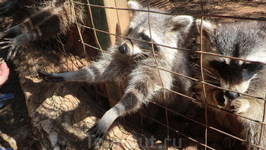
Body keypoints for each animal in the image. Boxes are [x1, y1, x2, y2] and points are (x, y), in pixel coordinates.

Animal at [39, 0, 193, 147]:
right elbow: (100, 70)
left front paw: (112, 112)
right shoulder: (124, 58)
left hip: (181, 93)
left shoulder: (161, 68)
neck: (140, 56)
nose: (122, 48)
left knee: (179, 103)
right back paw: (150, 116)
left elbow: (138, 91)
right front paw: (70, 74)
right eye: (130, 30)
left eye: (144, 36)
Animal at [195, 19, 266, 149]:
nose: (231, 94)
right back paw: (231, 134)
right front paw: (216, 93)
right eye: (221, 64)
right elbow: (208, 92)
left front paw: (246, 103)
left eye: (247, 65)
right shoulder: (208, 73)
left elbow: (261, 108)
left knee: (257, 132)